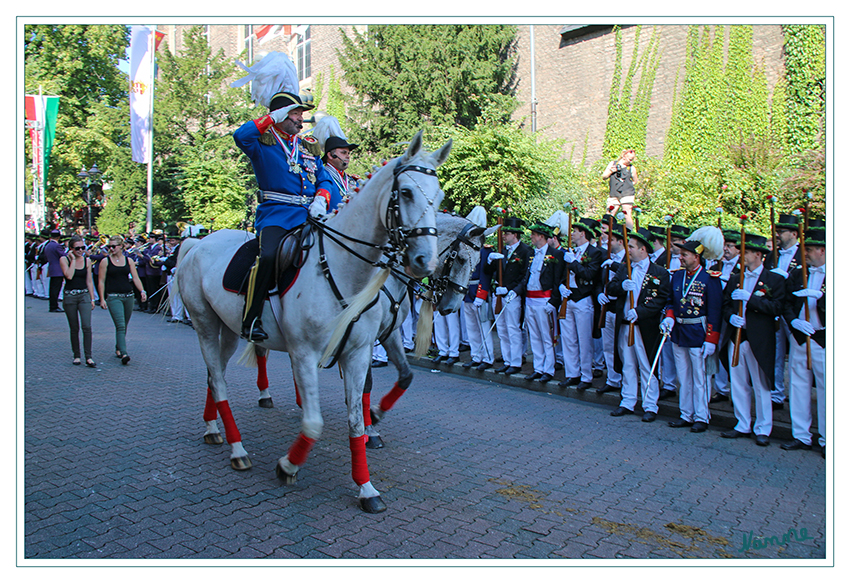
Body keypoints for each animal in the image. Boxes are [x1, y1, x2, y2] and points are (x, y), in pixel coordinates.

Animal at [175, 131, 448, 512]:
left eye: (440, 197)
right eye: (406, 192)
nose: (425, 261)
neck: (345, 267)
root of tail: (197, 242)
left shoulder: (359, 352)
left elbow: (356, 420)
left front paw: (366, 486)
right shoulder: (304, 353)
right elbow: (314, 422)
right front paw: (288, 465)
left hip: (228, 330)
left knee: (215, 378)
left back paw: (212, 429)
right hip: (204, 324)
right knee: (219, 379)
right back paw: (237, 449)